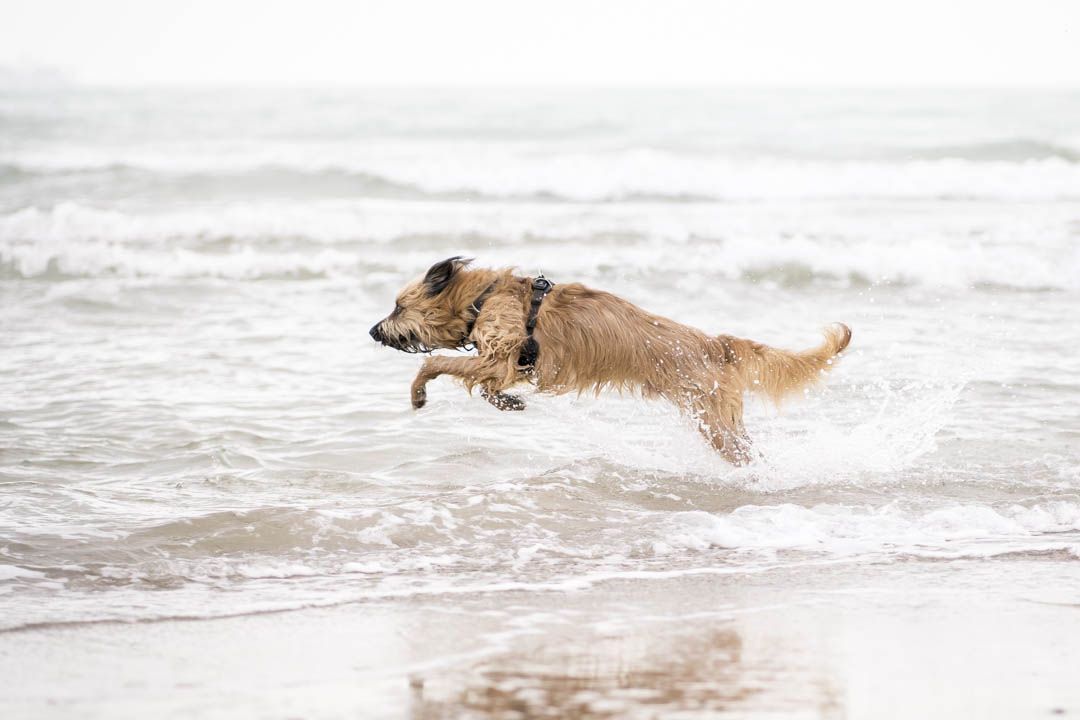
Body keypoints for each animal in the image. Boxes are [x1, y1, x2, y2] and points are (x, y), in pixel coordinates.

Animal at [371, 255, 851, 464]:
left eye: (397, 307)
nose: (374, 331)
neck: (481, 297)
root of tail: (717, 343)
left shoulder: (499, 355)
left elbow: (434, 364)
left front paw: (418, 394)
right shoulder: (507, 364)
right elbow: (490, 386)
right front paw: (508, 402)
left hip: (713, 421)